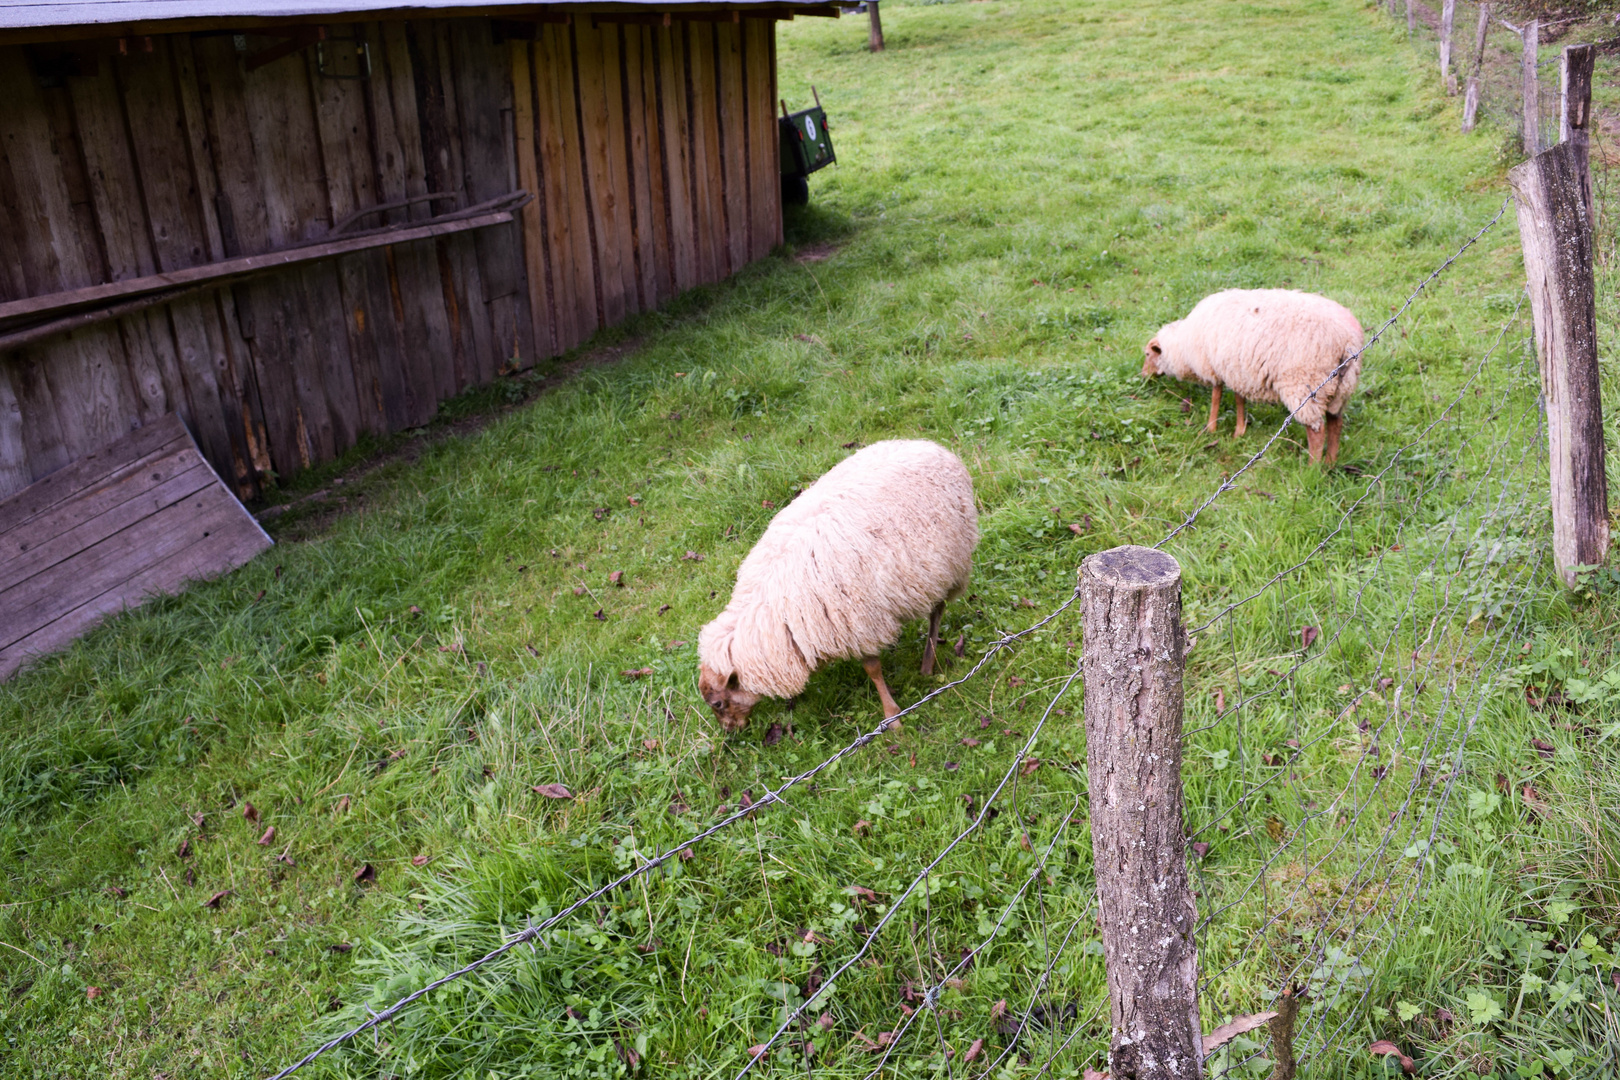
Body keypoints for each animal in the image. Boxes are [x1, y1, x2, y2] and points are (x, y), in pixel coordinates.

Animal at [693, 440, 972, 735]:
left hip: (949, 566)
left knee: (937, 611)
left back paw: (927, 664)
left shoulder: (859, 623)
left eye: (718, 703)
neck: (769, 609)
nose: (729, 732)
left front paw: (892, 717)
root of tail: (930, 445)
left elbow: (873, 670)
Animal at [1140, 289, 1367, 463]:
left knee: (1316, 430)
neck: (1182, 348)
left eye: (1148, 354)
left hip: (1306, 384)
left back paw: (1312, 468)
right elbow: (1239, 399)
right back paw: (1330, 463)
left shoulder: (1214, 367)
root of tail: (1349, 339)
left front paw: (1211, 428)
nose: (1143, 376)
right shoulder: (1237, 371)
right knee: (1335, 422)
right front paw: (1239, 431)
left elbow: (1216, 397)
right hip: (1341, 386)